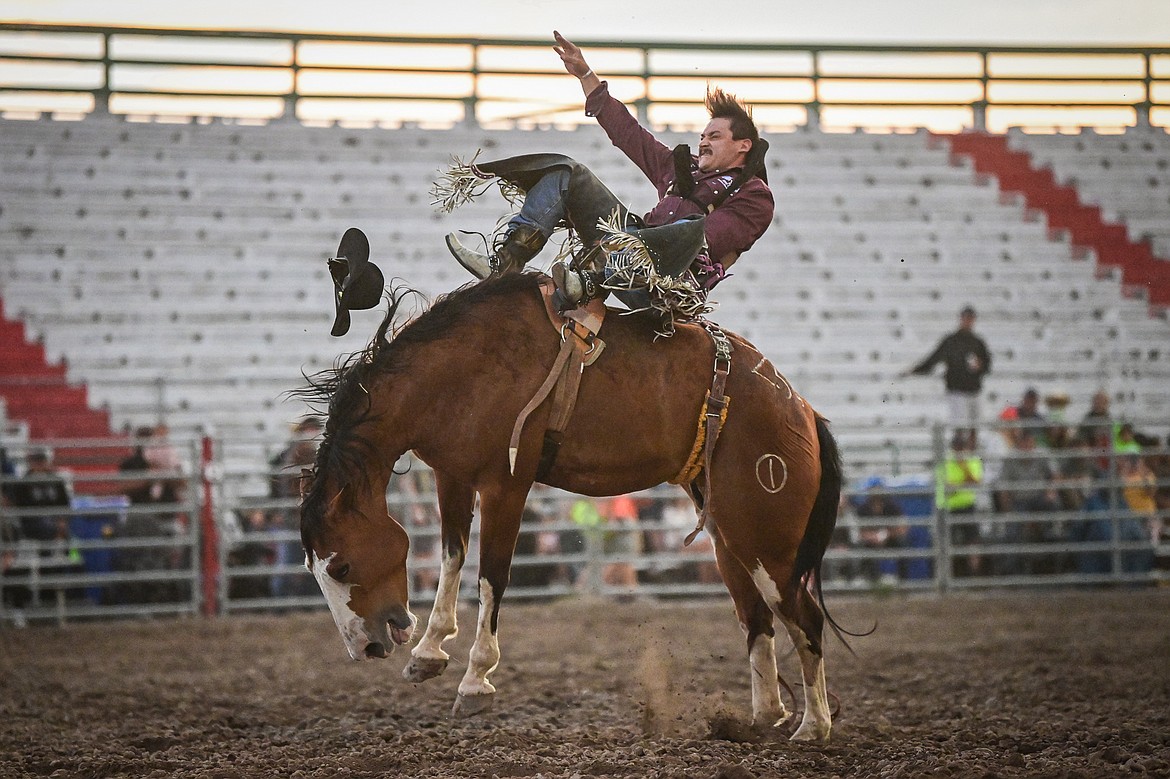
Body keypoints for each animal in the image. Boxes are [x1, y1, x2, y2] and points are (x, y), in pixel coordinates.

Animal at [297, 272, 847, 739]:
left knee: (805, 619)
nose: (366, 647)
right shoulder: (452, 476)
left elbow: (491, 575)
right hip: (731, 537)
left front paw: (475, 681)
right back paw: (763, 718)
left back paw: (813, 727)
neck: (460, 371)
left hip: (767, 540)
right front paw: (428, 654)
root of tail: (800, 408)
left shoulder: (506, 484)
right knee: (758, 620)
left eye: (341, 566)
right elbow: (453, 557)